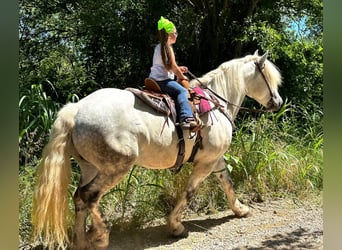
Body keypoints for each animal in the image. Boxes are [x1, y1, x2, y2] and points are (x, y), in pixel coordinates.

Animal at [32, 51, 284, 250]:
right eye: (268, 78)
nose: (278, 102)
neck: (215, 103)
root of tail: (75, 110)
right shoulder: (205, 163)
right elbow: (190, 192)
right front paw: (175, 226)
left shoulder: (215, 159)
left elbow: (227, 182)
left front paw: (240, 209)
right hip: (116, 167)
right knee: (89, 196)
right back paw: (101, 235)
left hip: (90, 167)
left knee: (79, 198)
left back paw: (83, 239)